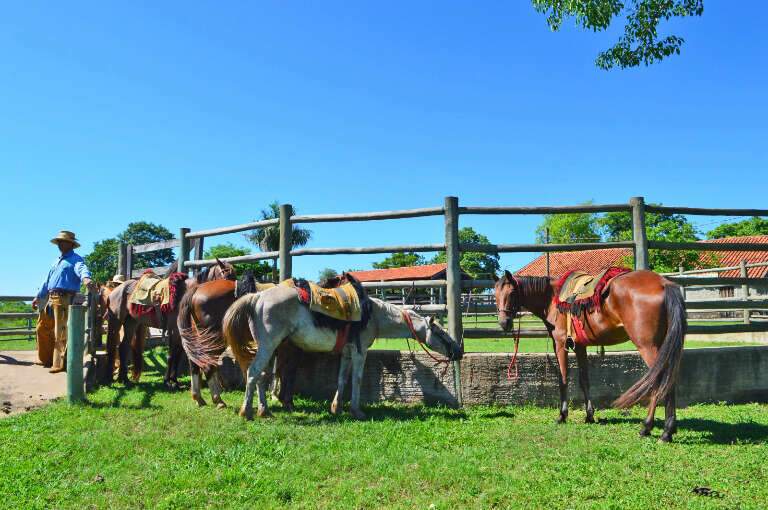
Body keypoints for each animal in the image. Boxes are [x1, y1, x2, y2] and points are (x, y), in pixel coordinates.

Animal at [106, 256, 234, 388]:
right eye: (225, 274)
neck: (184, 295)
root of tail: (116, 290)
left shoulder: (183, 331)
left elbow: (178, 355)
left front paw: (174, 380)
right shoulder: (173, 330)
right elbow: (171, 355)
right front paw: (167, 381)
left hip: (131, 323)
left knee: (124, 347)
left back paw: (124, 379)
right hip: (116, 321)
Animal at [222, 284, 462, 420]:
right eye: (440, 332)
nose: (458, 351)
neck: (373, 315)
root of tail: (257, 298)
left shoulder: (346, 352)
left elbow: (342, 379)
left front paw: (336, 408)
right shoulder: (359, 351)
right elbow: (356, 380)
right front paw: (357, 411)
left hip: (271, 347)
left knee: (262, 376)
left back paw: (264, 411)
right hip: (268, 344)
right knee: (253, 373)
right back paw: (247, 411)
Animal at [496, 268, 688, 440]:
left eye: (512, 293)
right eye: (495, 295)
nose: (504, 323)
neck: (552, 298)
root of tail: (663, 284)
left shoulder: (560, 345)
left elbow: (563, 379)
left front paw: (562, 415)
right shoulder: (580, 346)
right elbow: (584, 380)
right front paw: (589, 415)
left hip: (648, 346)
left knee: (659, 381)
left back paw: (648, 428)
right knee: (670, 380)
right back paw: (668, 430)